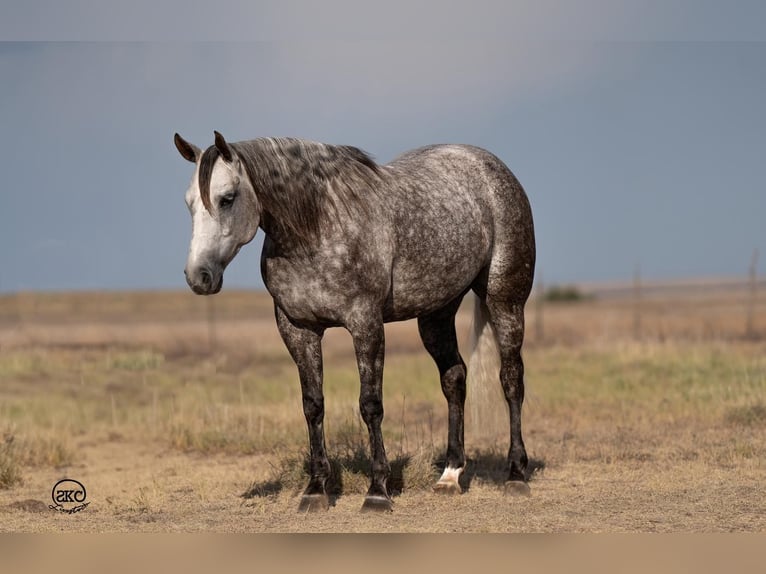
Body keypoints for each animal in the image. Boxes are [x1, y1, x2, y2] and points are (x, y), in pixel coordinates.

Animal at [175, 133, 536, 516]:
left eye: (227, 198)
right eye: (189, 204)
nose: (199, 277)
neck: (317, 228)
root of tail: (490, 165)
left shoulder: (366, 324)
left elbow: (370, 404)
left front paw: (377, 491)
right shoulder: (297, 330)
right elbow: (313, 405)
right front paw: (316, 489)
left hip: (505, 301)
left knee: (511, 380)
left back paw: (516, 475)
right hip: (436, 313)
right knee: (454, 379)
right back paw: (450, 475)